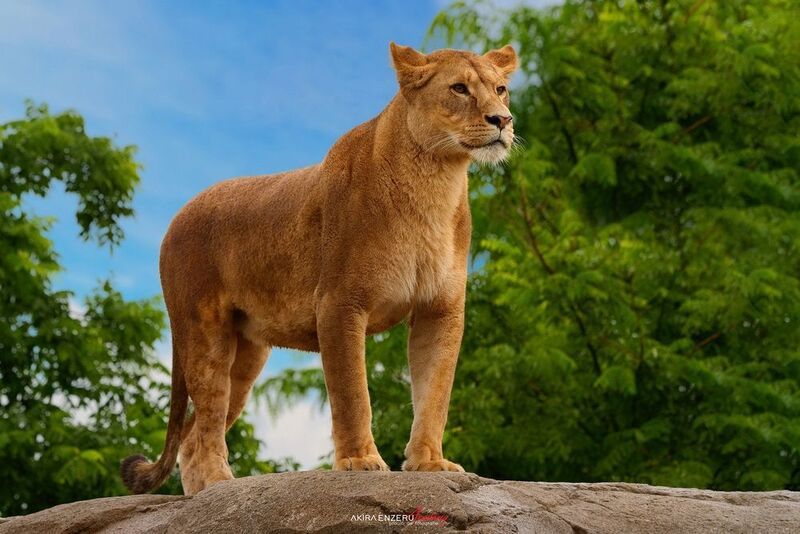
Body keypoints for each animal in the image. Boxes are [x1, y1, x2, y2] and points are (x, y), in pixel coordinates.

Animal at [121, 42, 518, 495]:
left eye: (501, 89)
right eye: (459, 89)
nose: (503, 120)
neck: (437, 179)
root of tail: (179, 214)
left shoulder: (441, 310)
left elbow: (435, 393)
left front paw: (430, 463)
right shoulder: (339, 304)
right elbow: (352, 392)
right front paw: (360, 461)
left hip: (247, 355)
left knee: (193, 437)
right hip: (204, 334)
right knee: (205, 424)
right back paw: (221, 486)